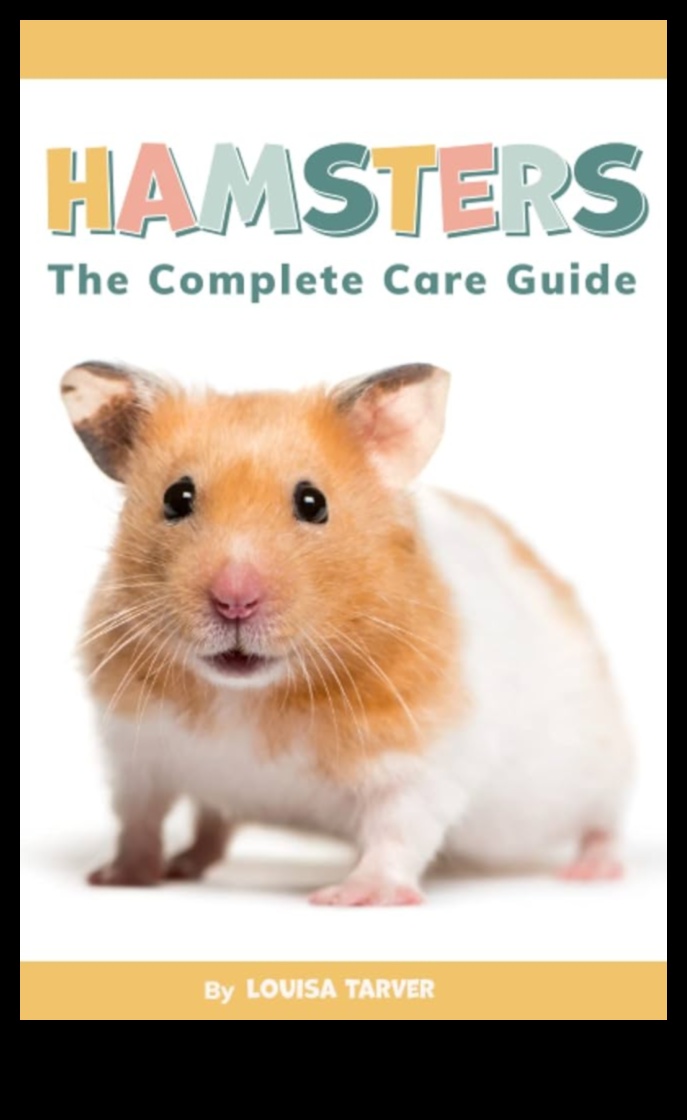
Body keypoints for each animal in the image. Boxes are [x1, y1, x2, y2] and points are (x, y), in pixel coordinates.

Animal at [60, 360, 632, 905]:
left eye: (313, 503)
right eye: (176, 498)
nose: (234, 600)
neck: (245, 697)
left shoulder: (420, 758)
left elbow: (398, 830)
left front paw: (351, 897)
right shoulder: (133, 751)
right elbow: (139, 820)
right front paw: (117, 879)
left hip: (601, 767)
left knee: (605, 821)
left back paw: (593, 870)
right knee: (213, 823)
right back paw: (184, 864)